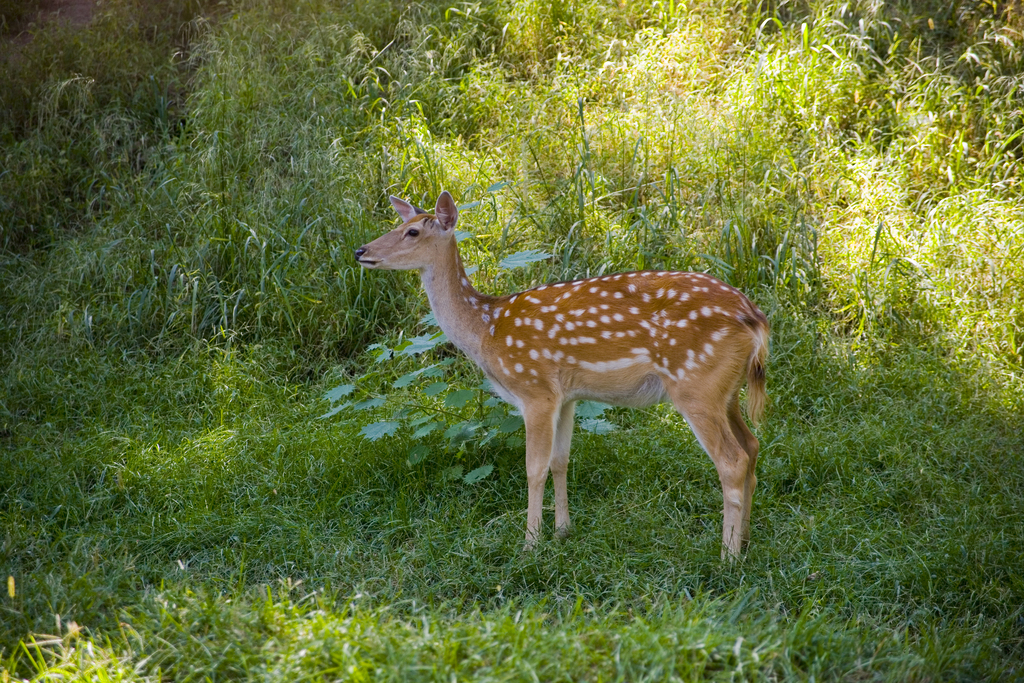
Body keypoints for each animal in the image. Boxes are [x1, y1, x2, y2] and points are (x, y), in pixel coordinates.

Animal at [358, 189, 770, 557]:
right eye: (399, 223)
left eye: (413, 232)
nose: (361, 251)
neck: (486, 330)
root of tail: (755, 319)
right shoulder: (568, 396)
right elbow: (561, 461)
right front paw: (562, 532)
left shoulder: (535, 390)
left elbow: (534, 468)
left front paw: (530, 545)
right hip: (724, 390)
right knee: (752, 446)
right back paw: (747, 540)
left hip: (694, 384)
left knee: (732, 461)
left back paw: (727, 556)